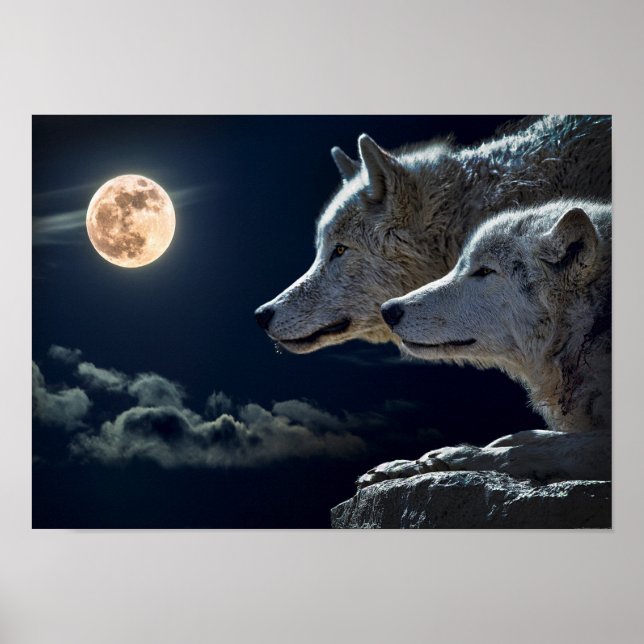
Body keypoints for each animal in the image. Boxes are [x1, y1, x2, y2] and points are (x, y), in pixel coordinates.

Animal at [361, 199, 611, 488]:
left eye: (485, 271)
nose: (388, 310)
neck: (590, 328)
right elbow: (530, 436)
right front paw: (404, 465)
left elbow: (533, 450)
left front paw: (454, 457)